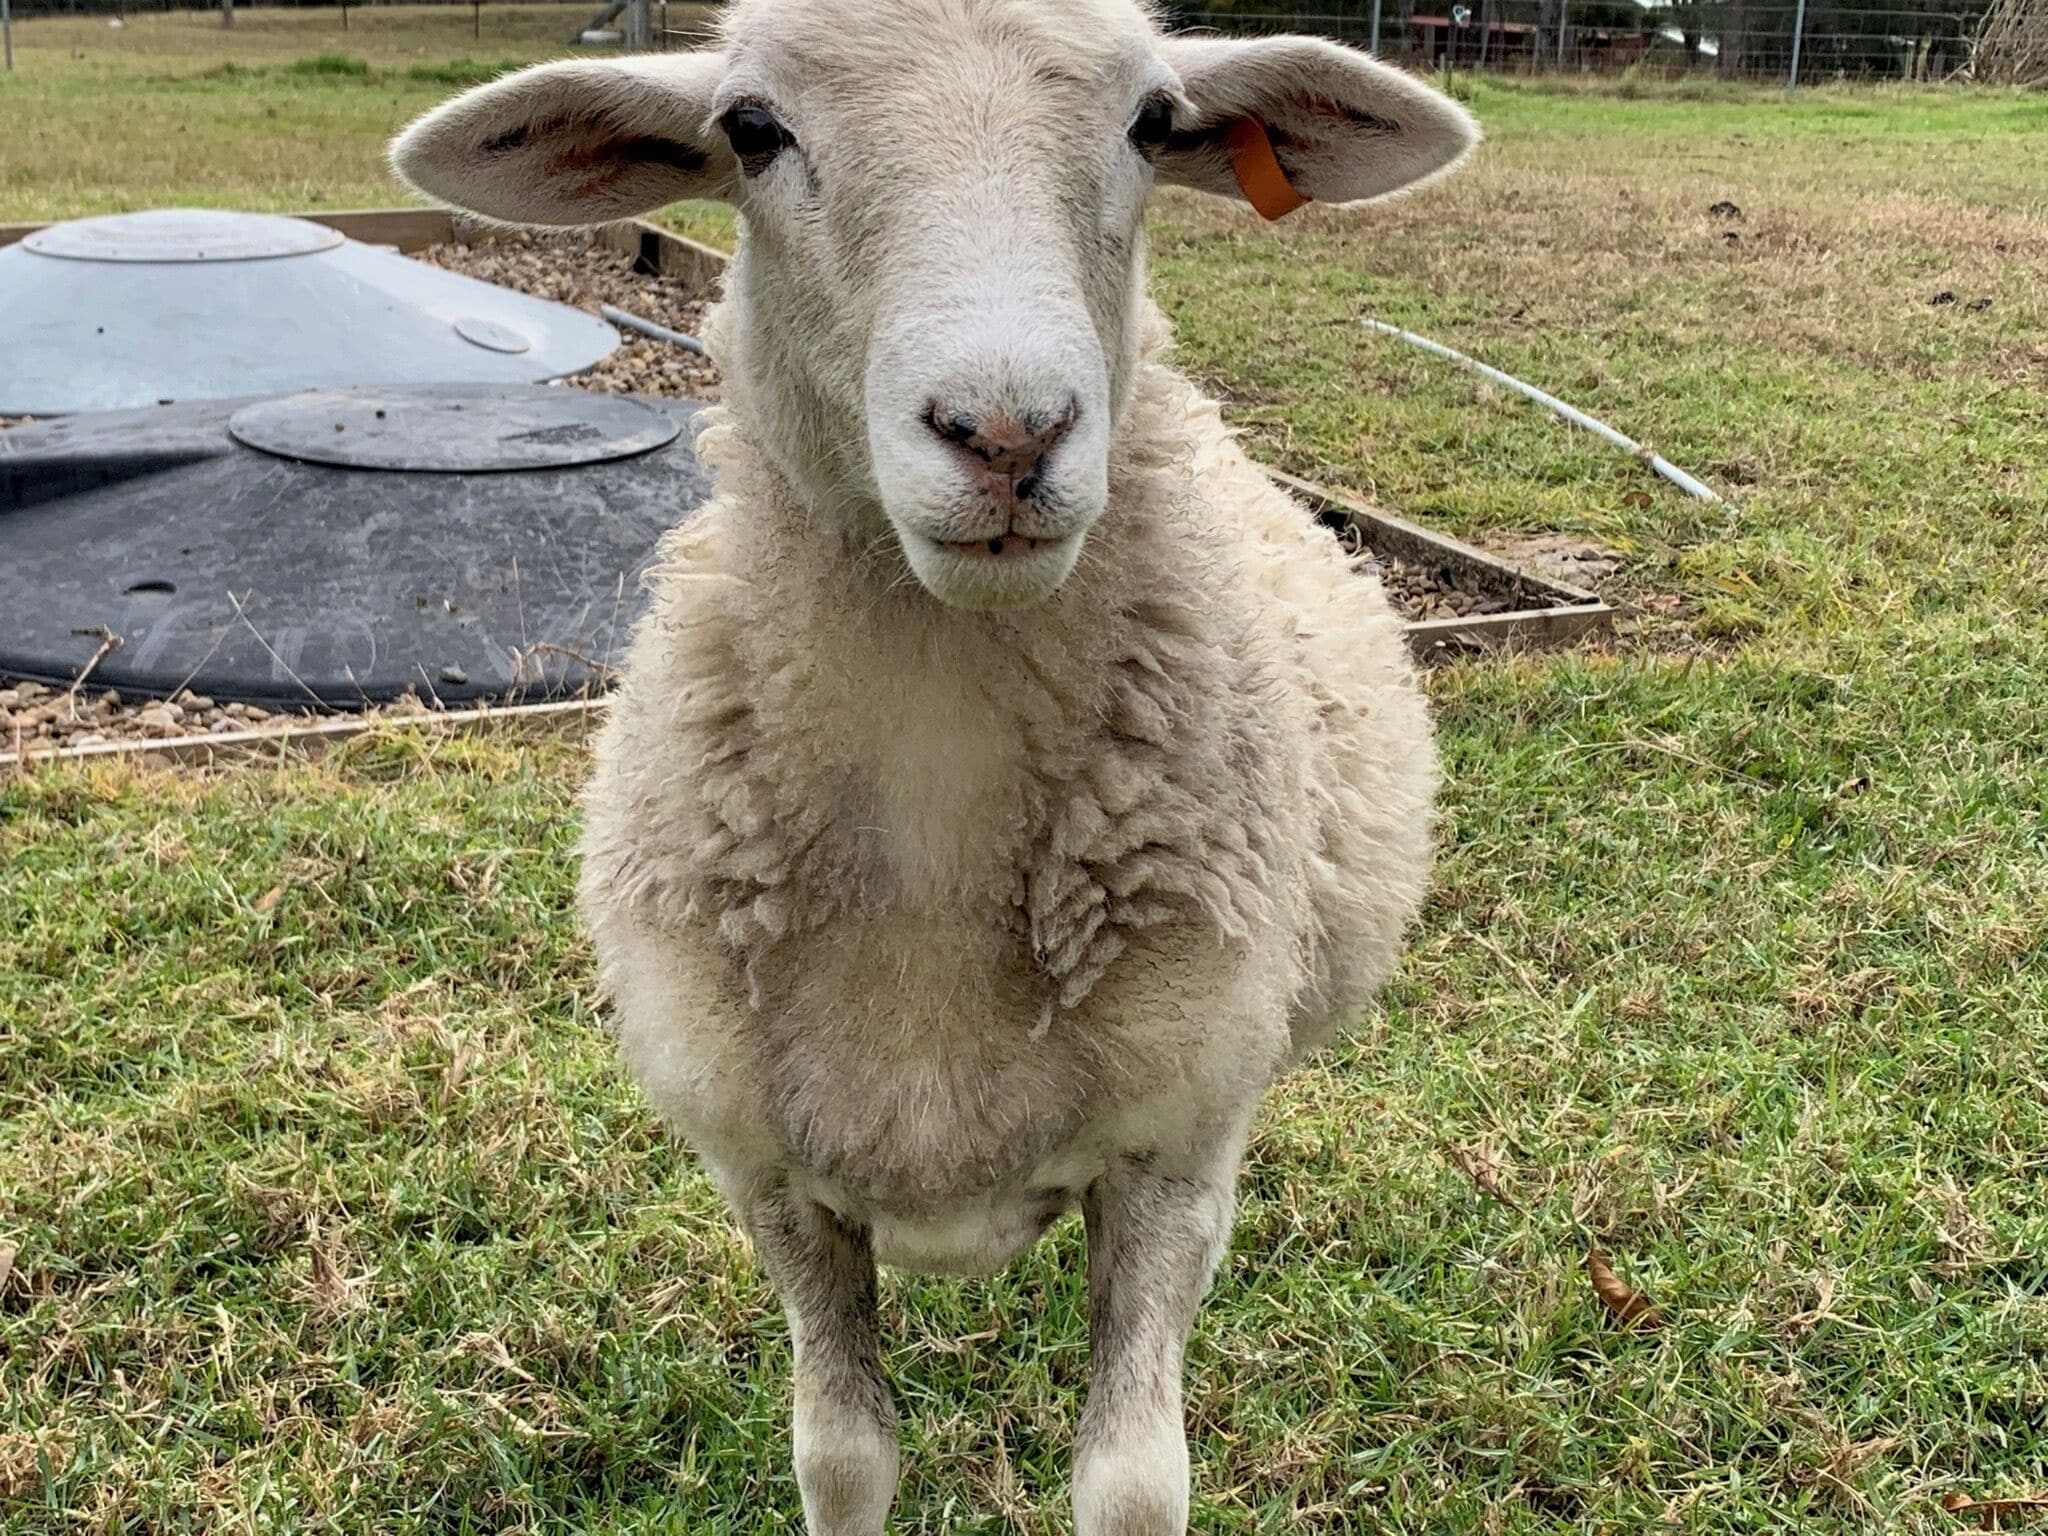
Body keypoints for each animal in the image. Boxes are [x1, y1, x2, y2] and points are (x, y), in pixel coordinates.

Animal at [392, 2, 1474, 1529]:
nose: (1008, 433)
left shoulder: (1171, 1157)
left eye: (1153, 122)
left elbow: (1133, 1483)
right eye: (750, 131)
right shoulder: (770, 1181)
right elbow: (841, 1458)